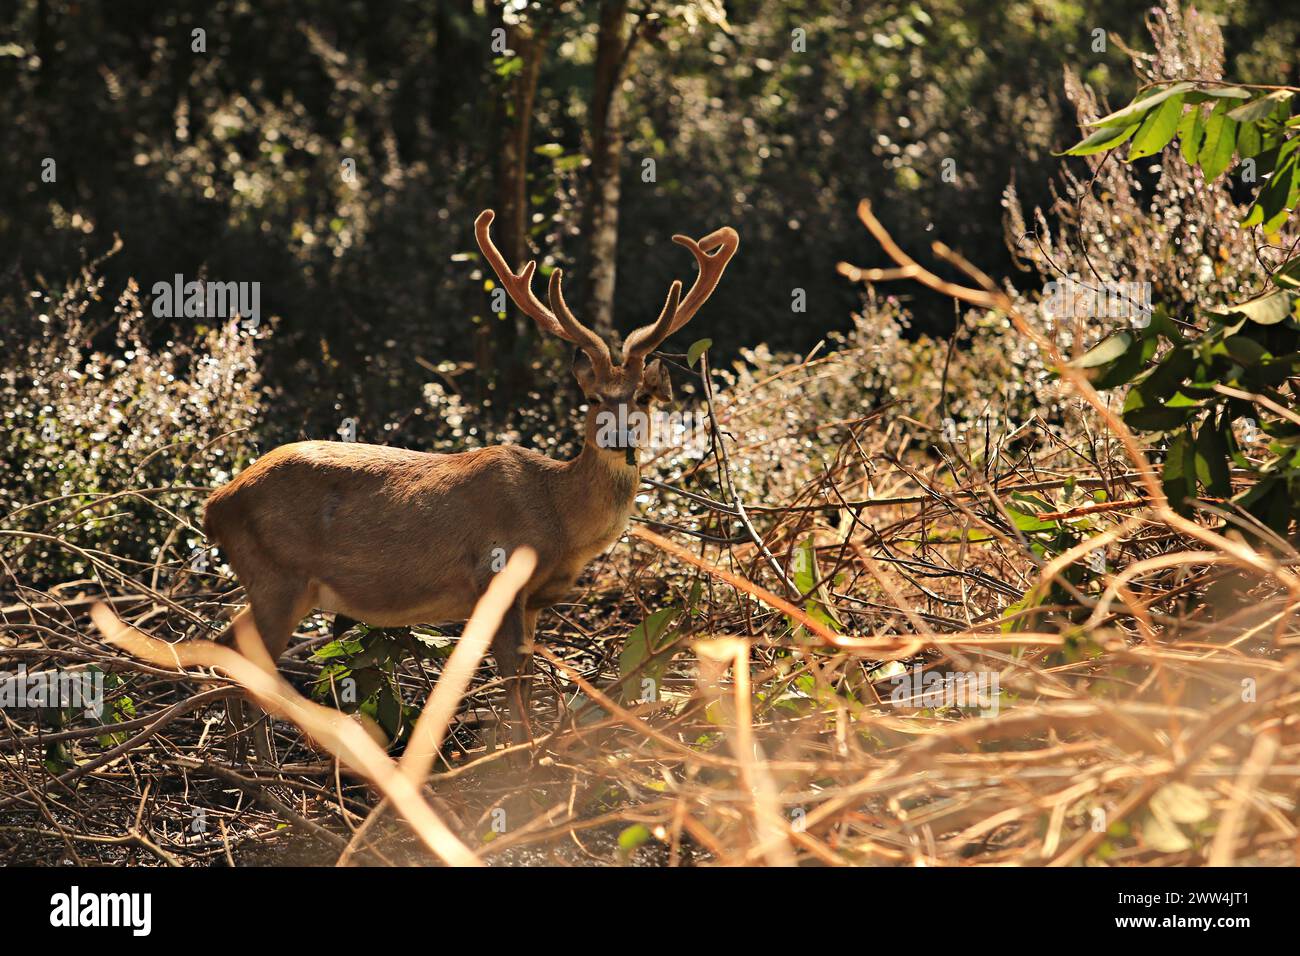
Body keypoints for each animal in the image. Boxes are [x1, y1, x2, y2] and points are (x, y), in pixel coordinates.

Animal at [198, 205, 738, 759]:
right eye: (593, 400)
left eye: (643, 398)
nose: (620, 437)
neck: (560, 516)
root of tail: (216, 504)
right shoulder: (495, 573)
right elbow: (515, 685)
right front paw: (521, 762)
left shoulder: (533, 601)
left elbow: (525, 680)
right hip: (278, 574)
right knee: (243, 657)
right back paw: (261, 769)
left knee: (228, 648)